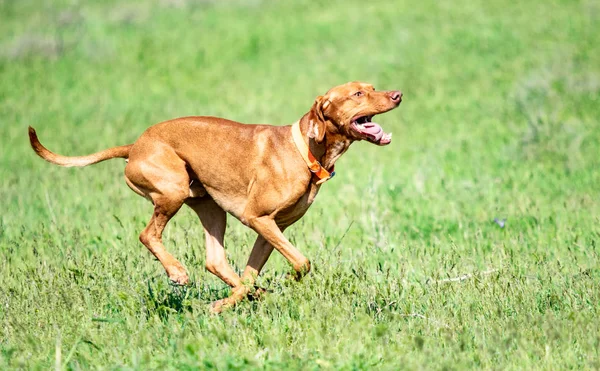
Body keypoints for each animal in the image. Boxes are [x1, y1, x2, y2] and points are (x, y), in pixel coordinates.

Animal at [28, 82, 404, 314]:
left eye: (373, 87)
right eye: (357, 93)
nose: (397, 94)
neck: (304, 149)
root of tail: (134, 145)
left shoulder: (269, 229)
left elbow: (251, 273)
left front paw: (230, 303)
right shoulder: (258, 218)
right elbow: (302, 262)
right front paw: (281, 282)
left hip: (210, 207)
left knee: (215, 261)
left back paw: (250, 295)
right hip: (173, 189)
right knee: (148, 234)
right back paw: (177, 272)